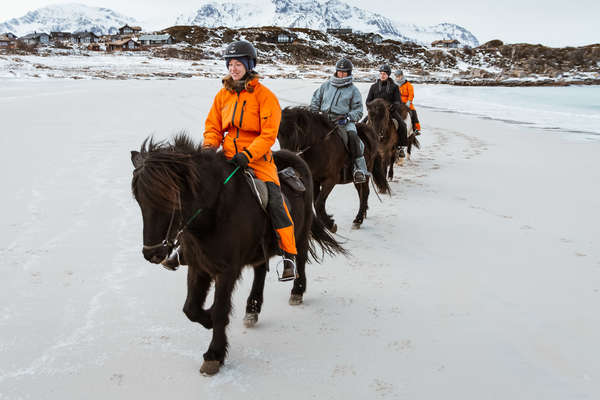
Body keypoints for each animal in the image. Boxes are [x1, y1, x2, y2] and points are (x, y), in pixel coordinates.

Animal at [131, 134, 346, 376]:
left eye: (169, 199)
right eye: (139, 200)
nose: (152, 253)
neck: (214, 212)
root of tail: (295, 158)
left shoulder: (226, 271)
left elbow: (220, 310)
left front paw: (213, 355)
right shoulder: (198, 266)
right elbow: (191, 308)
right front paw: (207, 319)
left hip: (300, 232)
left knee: (299, 260)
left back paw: (296, 291)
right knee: (260, 270)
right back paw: (252, 309)